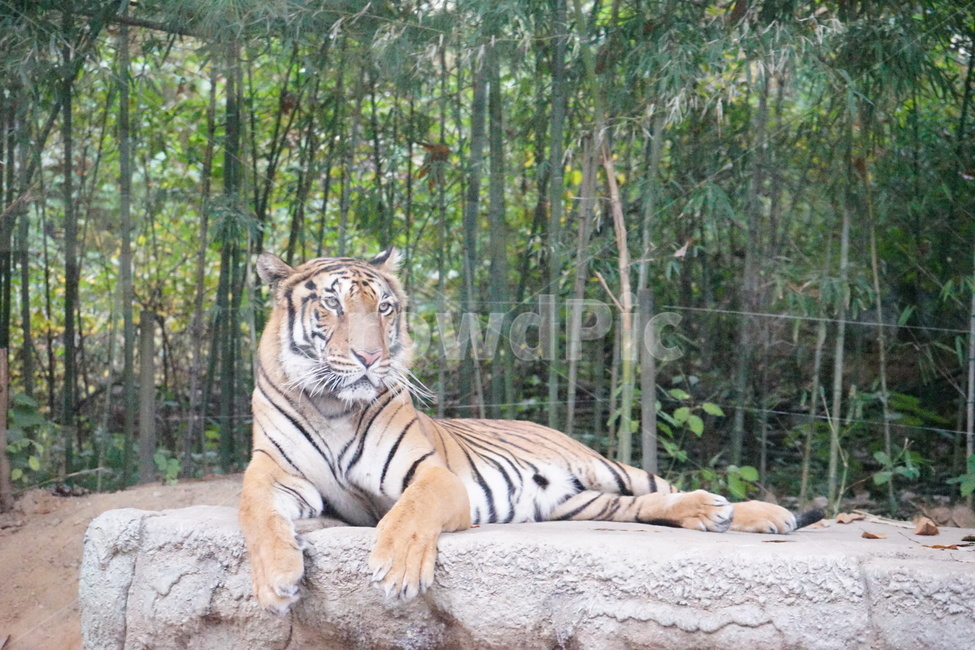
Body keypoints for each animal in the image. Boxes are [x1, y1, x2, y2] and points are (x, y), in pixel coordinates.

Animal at [238, 249, 823, 614]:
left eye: (383, 308)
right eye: (332, 303)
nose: (370, 357)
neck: (334, 405)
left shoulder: (431, 476)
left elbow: (410, 513)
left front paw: (398, 567)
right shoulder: (274, 474)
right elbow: (256, 515)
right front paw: (276, 580)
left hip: (605, 466)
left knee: (667, 487)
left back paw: (760, 513)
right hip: (583, 503)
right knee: (643, 506)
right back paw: (709, 513)